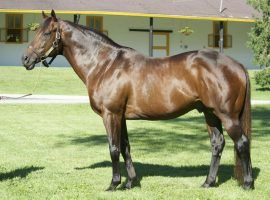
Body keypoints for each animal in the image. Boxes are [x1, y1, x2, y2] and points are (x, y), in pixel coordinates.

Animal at [21, 10, 253, 190]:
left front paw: (114, 184)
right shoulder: (121, 116)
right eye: (35, 31)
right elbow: (125, 148)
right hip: (209, 114)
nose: (25, 59)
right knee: (217, 144)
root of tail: (237, 65)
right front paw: (130, 182)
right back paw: (208, 182)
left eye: (47, 33)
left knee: (242, 142)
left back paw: (247, 184)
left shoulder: (111, 114)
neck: (104, 65)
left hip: (227, 116)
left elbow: (113, 148)